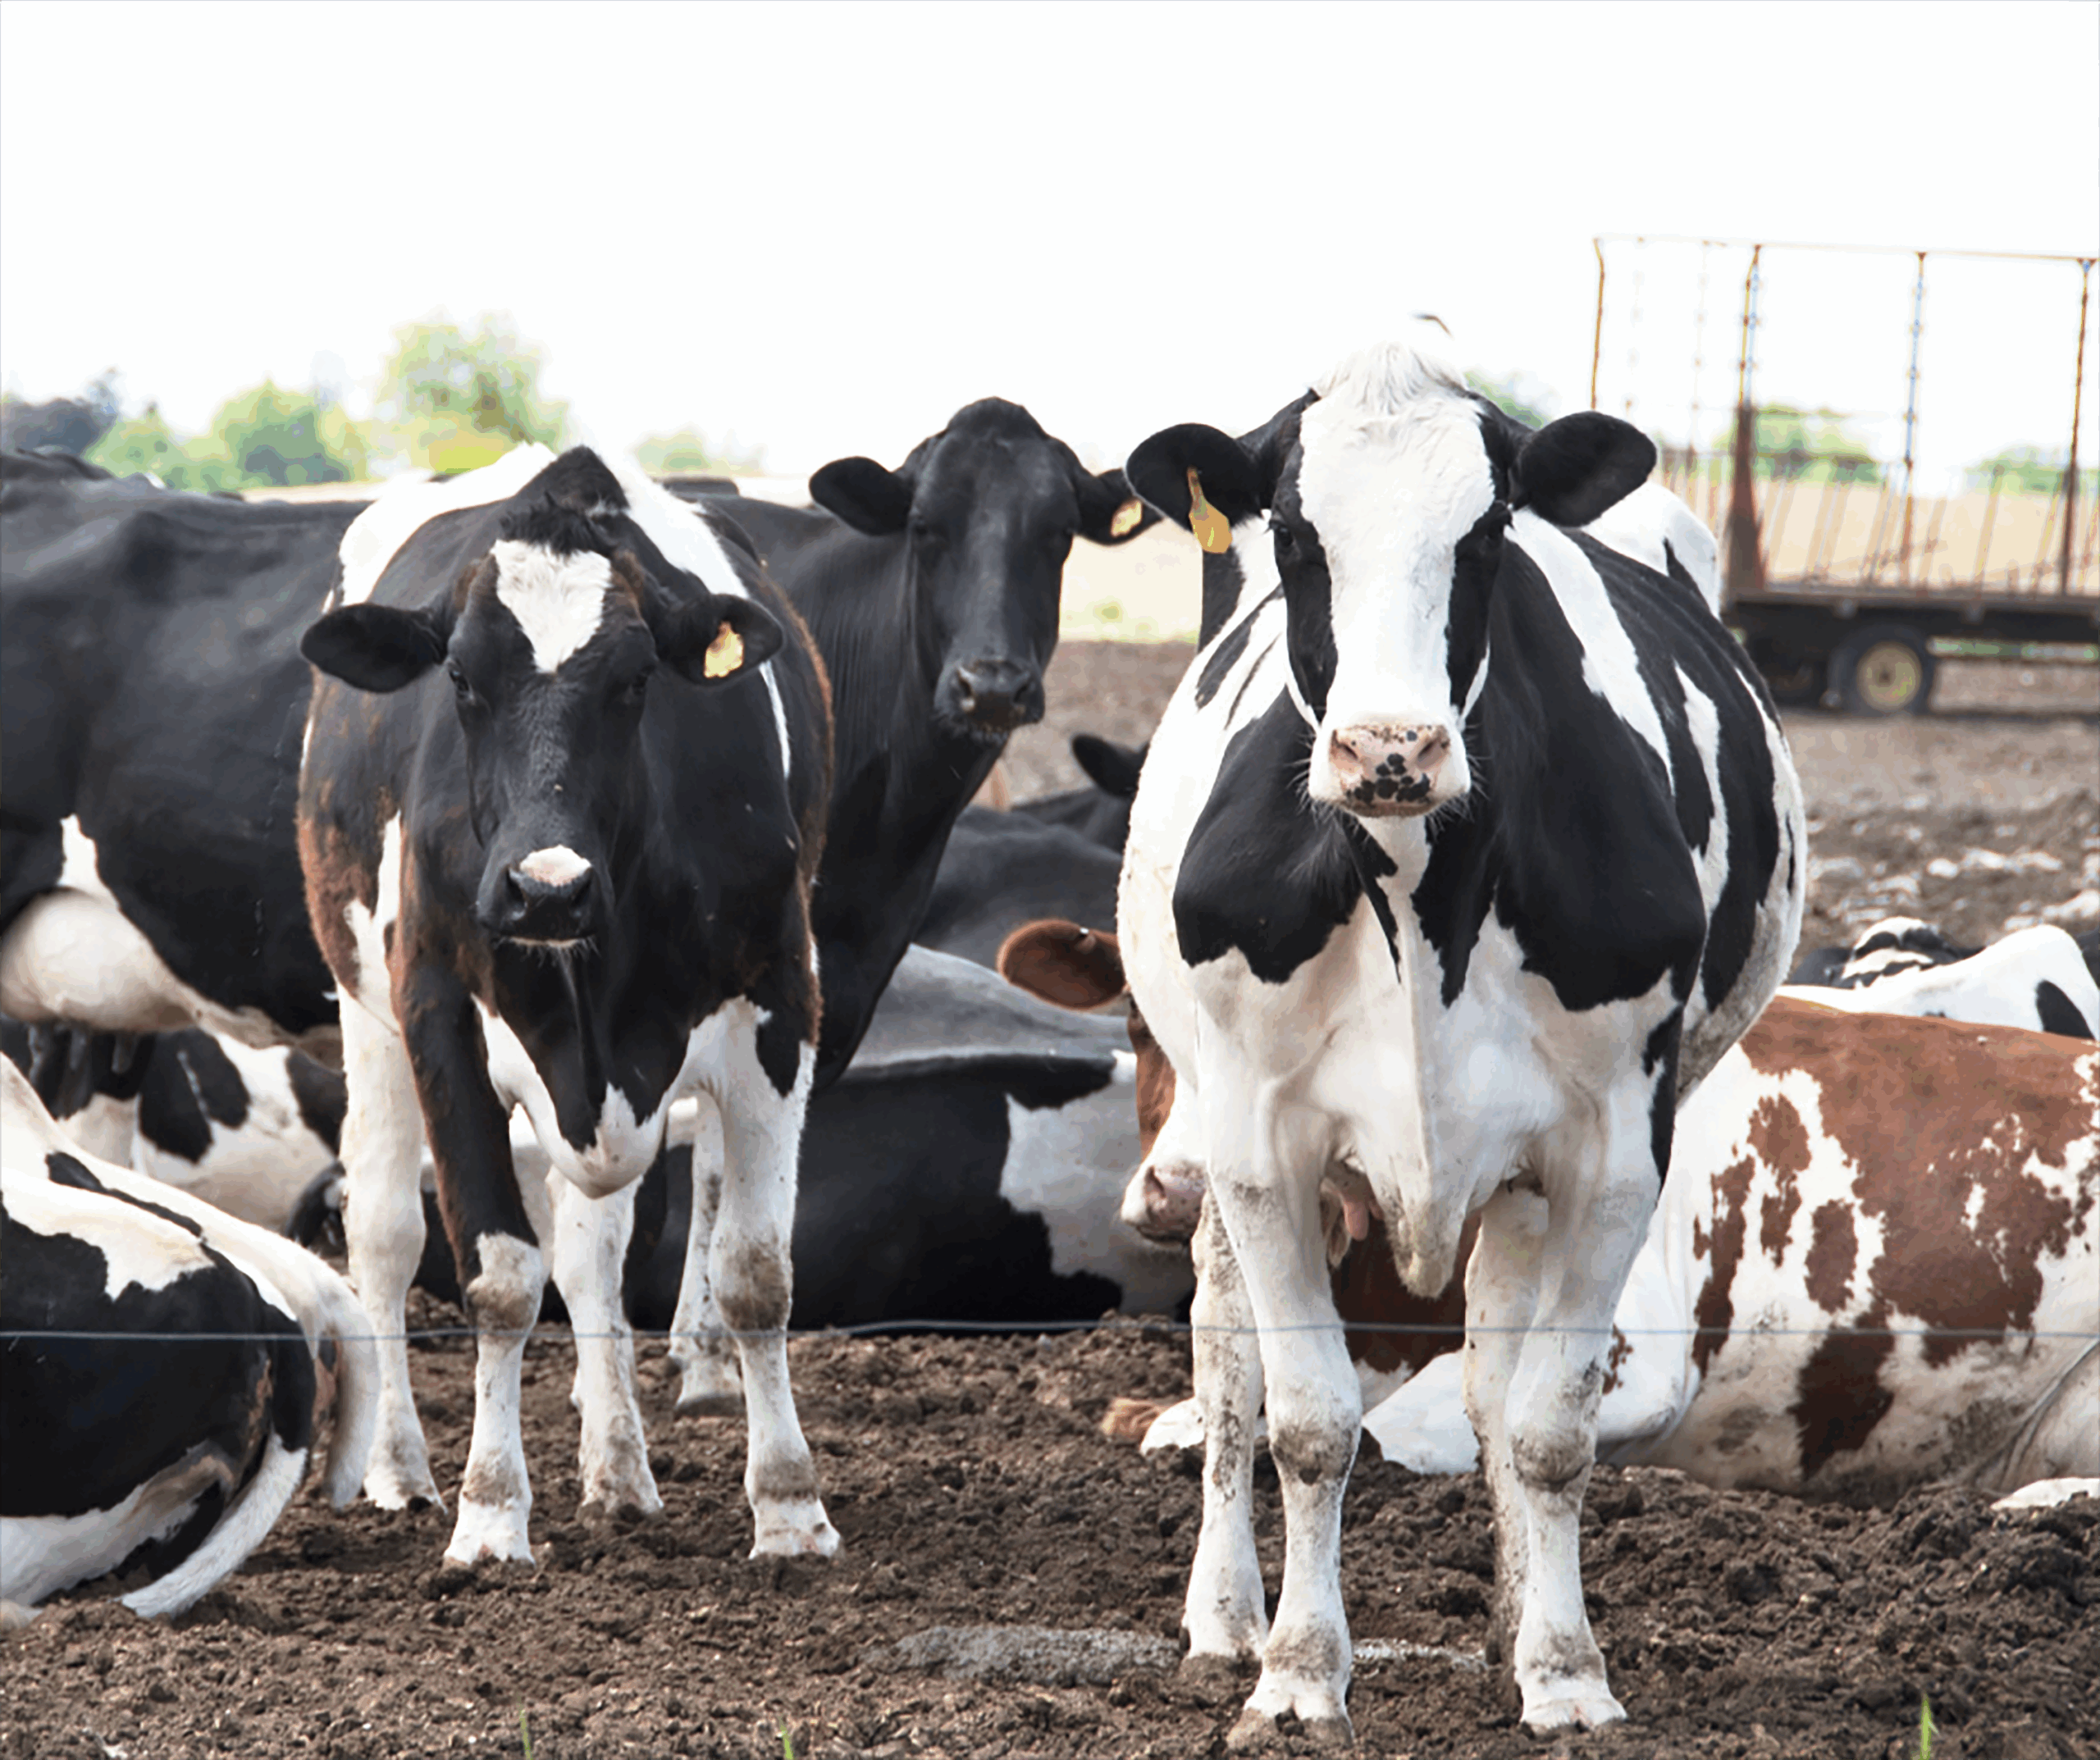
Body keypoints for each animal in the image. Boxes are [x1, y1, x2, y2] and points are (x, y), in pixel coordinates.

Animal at [297, 444, 837, 1567]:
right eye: (460, 677)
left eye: (636, 681)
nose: (545, 888)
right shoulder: (438, 1016)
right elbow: (499, 1277)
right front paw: (490, 1513)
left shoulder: (779, 1004)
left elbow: (754, 1270)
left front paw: (790, 1506)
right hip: (366, 1020)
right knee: (384, 1235)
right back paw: (401, 1470)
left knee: (593, 1261)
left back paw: (619, 1476)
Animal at [1111, 329, 1804, 1735]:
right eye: (1294, 535)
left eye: (1485, 535)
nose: (1391, 746)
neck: (1416, 884)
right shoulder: (1261, 1141)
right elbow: (1308, 1418)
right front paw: (1297, 1673)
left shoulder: (1611, 1151)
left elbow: (1546, 1424)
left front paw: (1564, 1670)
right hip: (1213, 1134)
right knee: (1222, 1351)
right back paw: (1224, 1613)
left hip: (1524, 1178)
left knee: (1492, 1376)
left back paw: (1511, 1625)